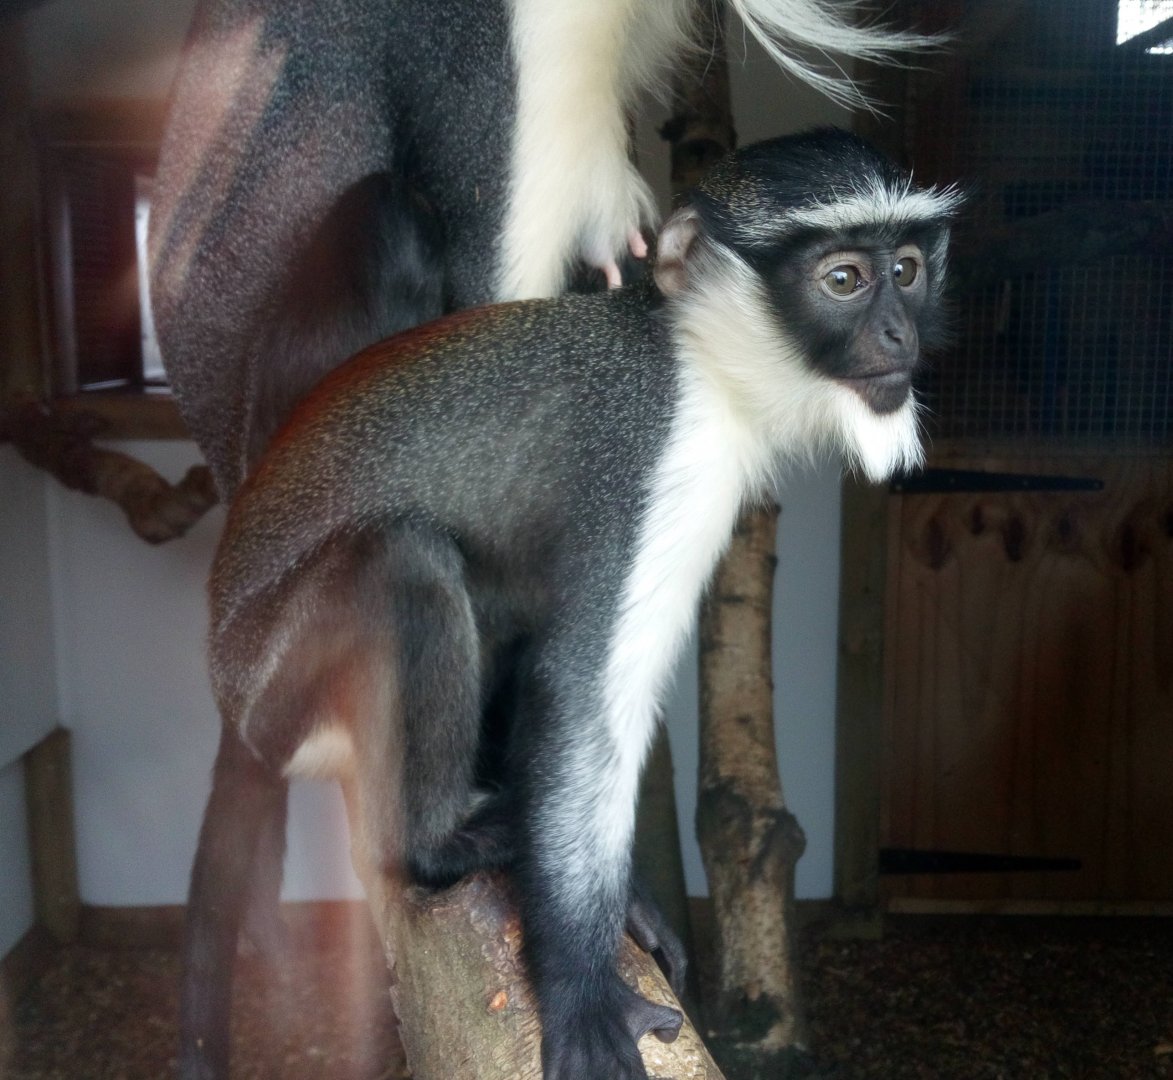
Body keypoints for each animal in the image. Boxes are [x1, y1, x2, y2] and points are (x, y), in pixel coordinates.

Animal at [178, 128, 960, 1079]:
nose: (899, 333)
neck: (693, 354)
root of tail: (228, 698)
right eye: (843, 278)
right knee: (403, 564)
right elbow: (586, 697)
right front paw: (582, 995)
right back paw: (435, 843)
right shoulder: (653, 462)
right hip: (281, 688)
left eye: (908, 270)